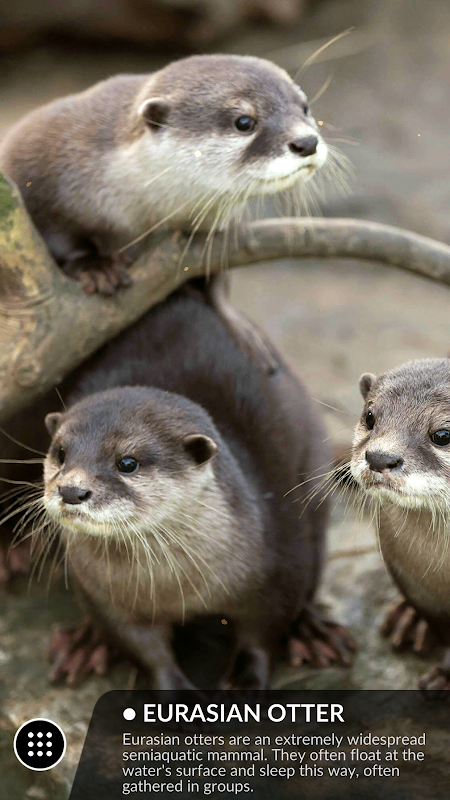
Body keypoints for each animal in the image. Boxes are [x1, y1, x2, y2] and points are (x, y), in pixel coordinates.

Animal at [36, 286, 353, 689]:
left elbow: (264, 631)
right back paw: (84, 643)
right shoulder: (106, 599)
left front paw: (244, 682)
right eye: (61, 453)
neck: (176, 588)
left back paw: (313, 633)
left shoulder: (281, 563)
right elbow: (142, 647)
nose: (72, 491)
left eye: (127, 463)